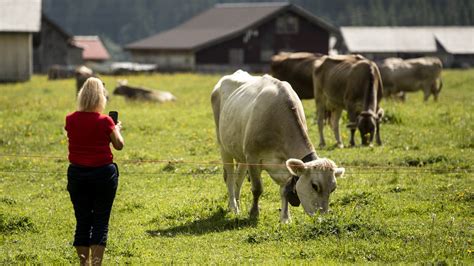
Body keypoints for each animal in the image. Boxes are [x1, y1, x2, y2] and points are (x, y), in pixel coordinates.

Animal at [211, 69, 344, 222]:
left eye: (333, 188)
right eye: (314, 186)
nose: (322, 218)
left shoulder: (284, 162)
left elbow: (285, 190)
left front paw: (285, 218)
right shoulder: (253, 157)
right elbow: (257, 188)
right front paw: (254, 213)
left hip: (240, 151)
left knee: (239, 178)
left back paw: (236, 204)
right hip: (224, 146)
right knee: (230, 178)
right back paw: (233, 206)